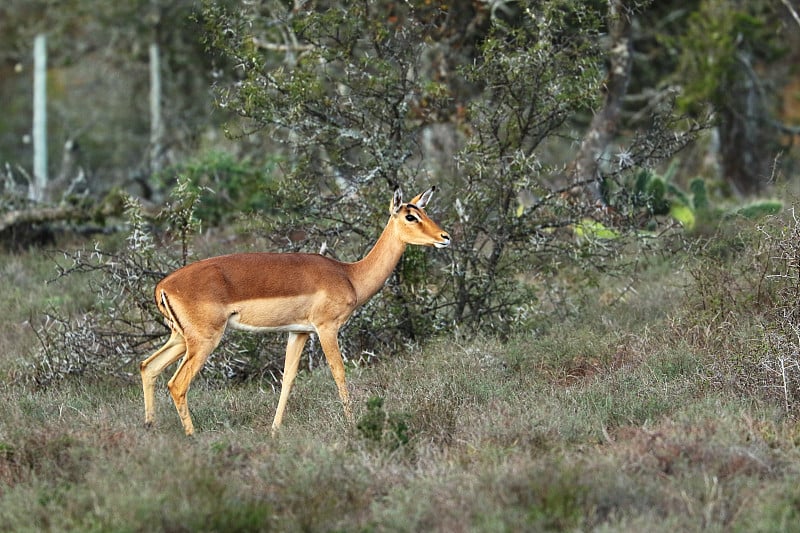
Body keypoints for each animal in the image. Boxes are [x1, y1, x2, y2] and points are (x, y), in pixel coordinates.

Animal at [139, 186, 450, 432]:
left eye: (424, 211)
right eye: (410, 216)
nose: (444, 236)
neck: (349, 275)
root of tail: (162, 286)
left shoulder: (298, 332)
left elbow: (287, 378)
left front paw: (275, 431)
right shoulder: (326, 328)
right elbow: (338, 371)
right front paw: (352, 424)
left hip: (181, 339)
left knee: (147, 367)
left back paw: (150, 427)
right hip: (204, 341)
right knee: (177, 384)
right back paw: (192, 437)